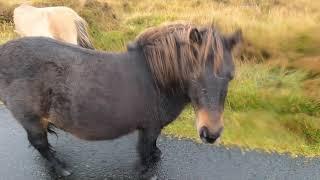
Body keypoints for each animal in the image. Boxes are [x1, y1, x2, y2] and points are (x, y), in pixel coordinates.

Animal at [0, 22, 241, 179]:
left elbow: (153, 146)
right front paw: (146, 170)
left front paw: (156, 156)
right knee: (39, 143)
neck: (156, 79)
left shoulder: (153, 127)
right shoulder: (149, 127)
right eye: (195, 75)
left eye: (230, 76)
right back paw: (61, 168)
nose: (211, 134)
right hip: (30, 118)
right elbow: (144, 150)